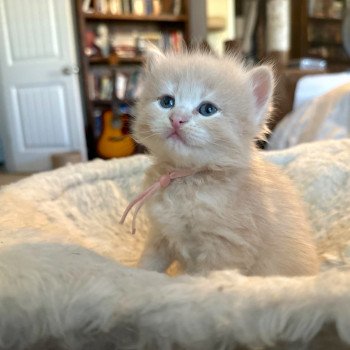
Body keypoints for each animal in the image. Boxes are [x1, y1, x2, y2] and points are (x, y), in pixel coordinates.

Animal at [131, 47, 320, 276]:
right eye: (167, 102)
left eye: (207, 109)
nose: (176, 119)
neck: (188, 179)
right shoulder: (160, 234)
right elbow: (148, 265)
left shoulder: (225, 248)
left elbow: (202, 277)